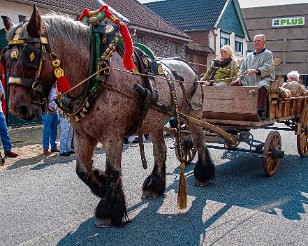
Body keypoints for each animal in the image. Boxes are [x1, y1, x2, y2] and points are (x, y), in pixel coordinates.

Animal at [1, 5, 215, 228]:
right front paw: (101, 186)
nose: (18, 108)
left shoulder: (112, 135)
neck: (95, 73)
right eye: (5, 59)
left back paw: (203, 173)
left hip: (192, 114)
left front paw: (109, 209)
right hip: (156, 120)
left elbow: (113, 171)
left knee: (198, 141)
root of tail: (189, 67)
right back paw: (155, 186)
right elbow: (82, 170)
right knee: (160, 151)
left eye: (30, 56)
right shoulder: (82, 135)